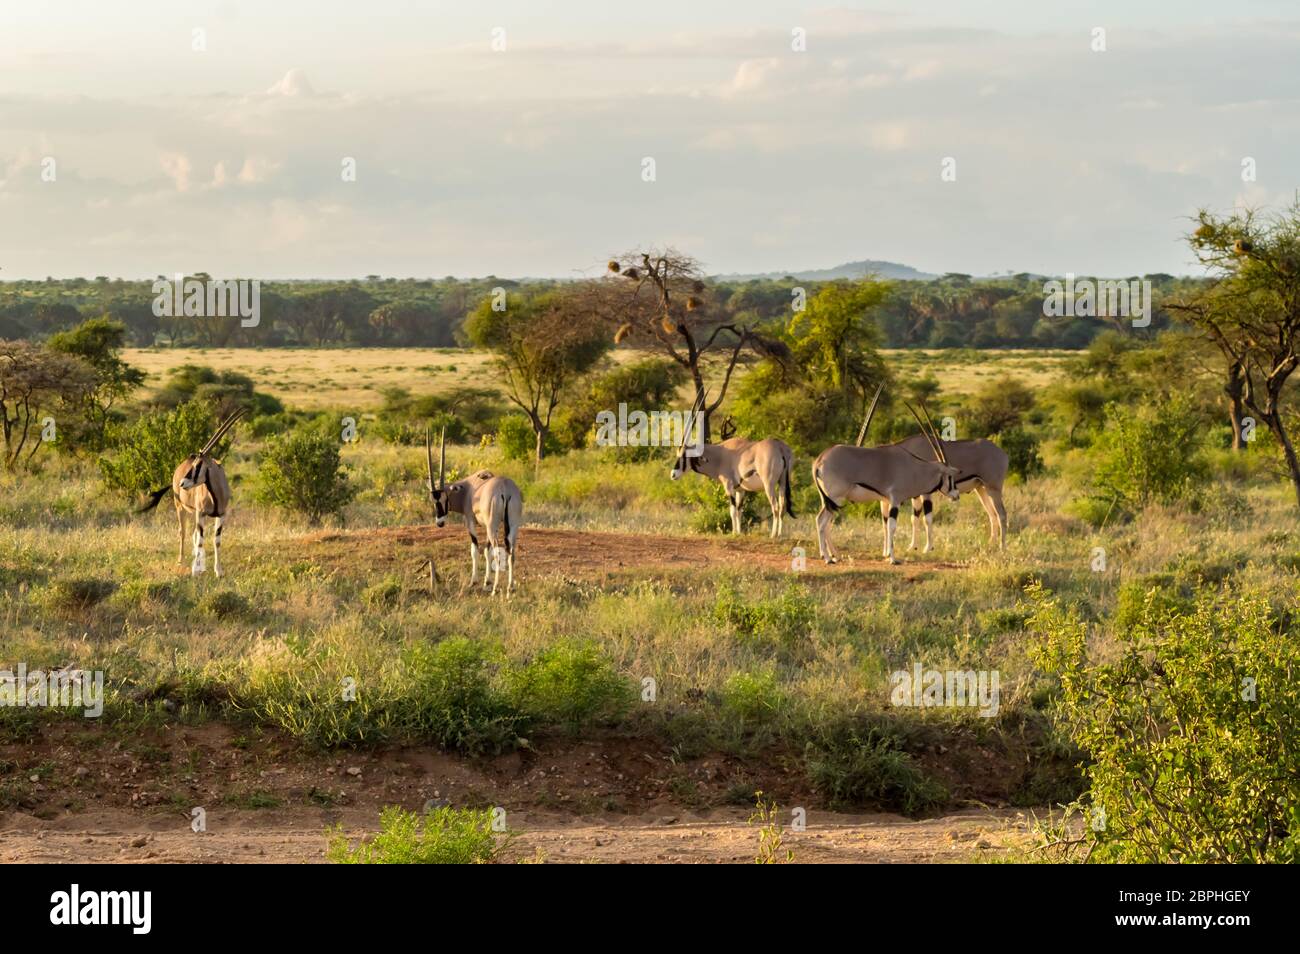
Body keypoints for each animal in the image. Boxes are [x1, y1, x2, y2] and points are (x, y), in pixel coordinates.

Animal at [138, 408, 244, 579]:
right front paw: (196, 570)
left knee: (194, 533)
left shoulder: (221, 515)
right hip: (181, 508)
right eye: (195, 464)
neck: (216, 493)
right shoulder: (201, 513)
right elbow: (200, 539)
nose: (182, 483)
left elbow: (216, 540)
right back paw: (181, 562)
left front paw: (218, 571)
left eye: (199, 465)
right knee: (183, 532)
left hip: (194, 513)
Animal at [431, 428, 522, 595]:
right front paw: (487, 582)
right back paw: (510, 588)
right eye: (433, 501)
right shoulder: (488, 526)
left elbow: (475, 550)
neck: (468, 489)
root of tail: (506, 489)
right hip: (511, 526)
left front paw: (475, 581)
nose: (440, 523)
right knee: (511, 552)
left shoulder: (470, 521)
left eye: (444, 499)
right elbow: (487, 551)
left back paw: (495, 589)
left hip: (493, 526)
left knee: (498, 552)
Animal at [670, 392, 790, 535]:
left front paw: (734, 533)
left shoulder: (729, 486)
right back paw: (780, 534)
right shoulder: (741, 490)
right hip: (782, 482)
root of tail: (780, 448)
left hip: (769, 485)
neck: (720, 454)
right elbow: (739, 511)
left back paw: (773, 535)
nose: (673, 474)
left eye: (685, 455)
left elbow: (732, 511)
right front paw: (738, 532)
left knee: (775, 507)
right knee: (782, 507)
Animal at [811, 400, 967, 564]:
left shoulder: (885, 501)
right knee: (821, 522)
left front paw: (886, 554)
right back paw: (827, 557)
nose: (956, 494)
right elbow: (892, 526)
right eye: (950, 477)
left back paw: (832, 555)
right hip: (836, 499)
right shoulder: (895, 500)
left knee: (824, 523)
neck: (913, 467)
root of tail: (819, 460)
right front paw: (893, 558)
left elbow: (885, 525)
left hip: (828, 501)